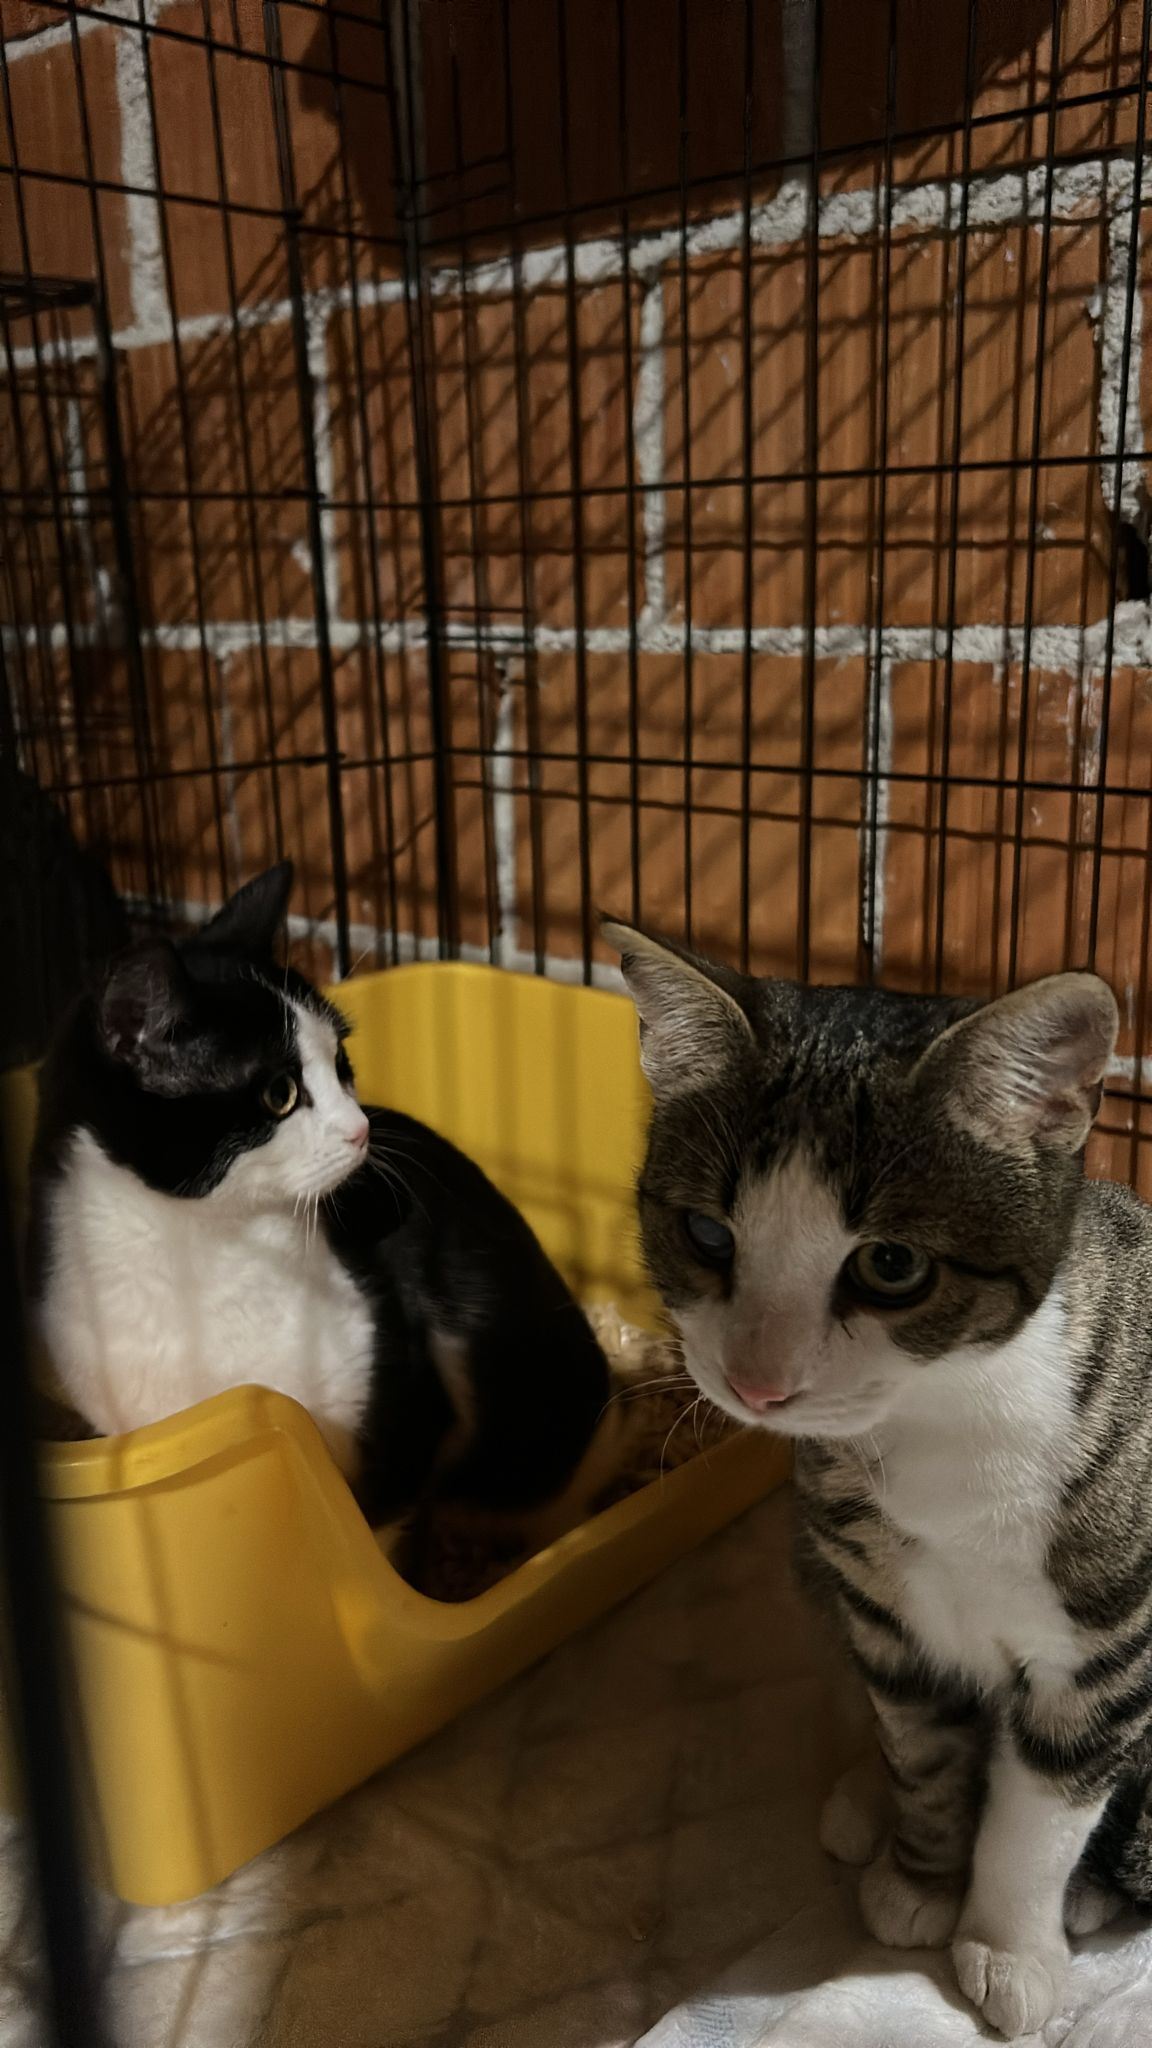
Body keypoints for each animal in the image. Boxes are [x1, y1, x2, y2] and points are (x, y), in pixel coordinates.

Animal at [26, 862, 610, 1532]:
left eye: (341, 1060)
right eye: (280, 1093)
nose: (361, 1129)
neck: (196, 1255)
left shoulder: (399, 1400)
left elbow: (376, 1513)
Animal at [604, 916, 1152, 2041]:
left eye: (891, 1265)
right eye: (708, 1233)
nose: (758, 1381)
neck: (946, 1417)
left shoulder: (1106, 1643)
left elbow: (1045, 1805)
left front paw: (1010, 1941)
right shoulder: (879, 1597)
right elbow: (920, 1740)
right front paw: (920, 1871)